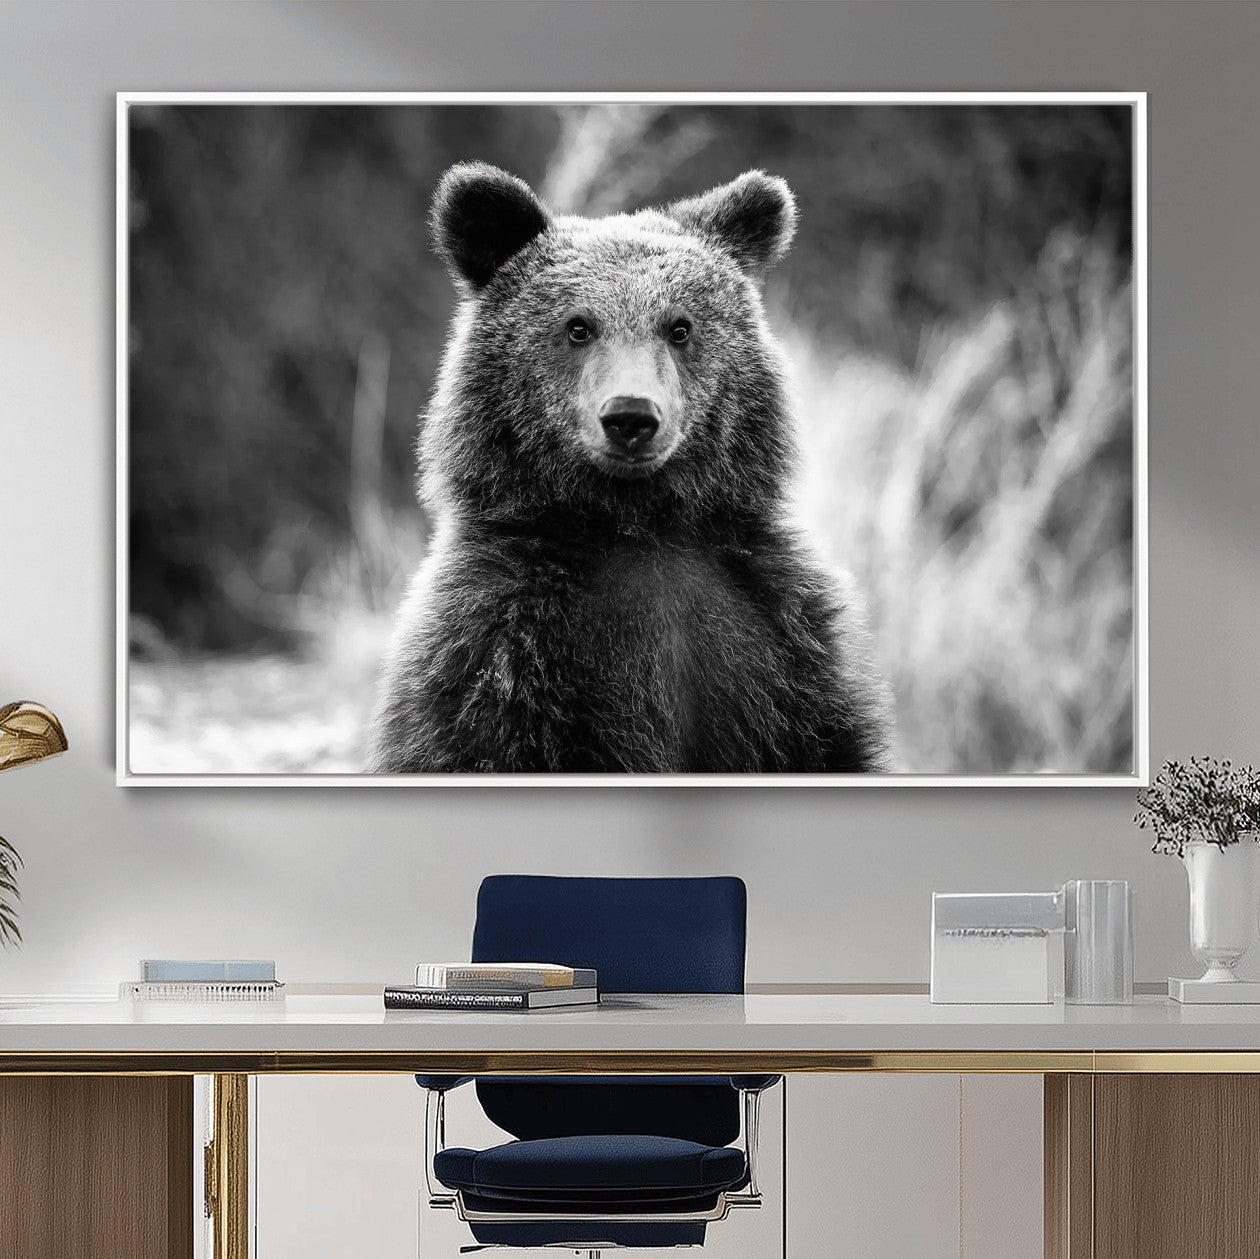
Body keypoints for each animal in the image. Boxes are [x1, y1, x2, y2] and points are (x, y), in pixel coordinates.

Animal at [367, 162, 892, 774]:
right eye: (578, 326)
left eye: (680, 327)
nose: (631, 416)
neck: (636, 525)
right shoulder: (499, 651)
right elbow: (473, 741)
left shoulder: (779, 640)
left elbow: (826, 741)